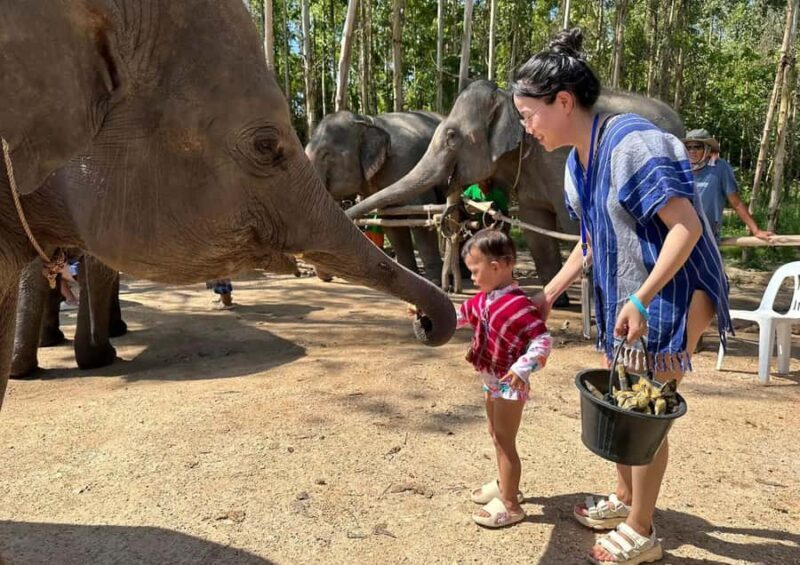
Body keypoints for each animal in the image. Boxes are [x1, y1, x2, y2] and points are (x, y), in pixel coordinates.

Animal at [306, 111, 445, 283]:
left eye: (326, 155)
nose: (328, 278)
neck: (369, 121)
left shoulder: (408, 161)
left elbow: (418, 216)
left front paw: (434, 282)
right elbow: (391, 221)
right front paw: (410, 275)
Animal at [346, 80, 685, 294]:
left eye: (452, 136)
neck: (508, 98)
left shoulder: (561, 160)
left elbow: (573, 226)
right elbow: (537, 230)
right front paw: (556, 301)